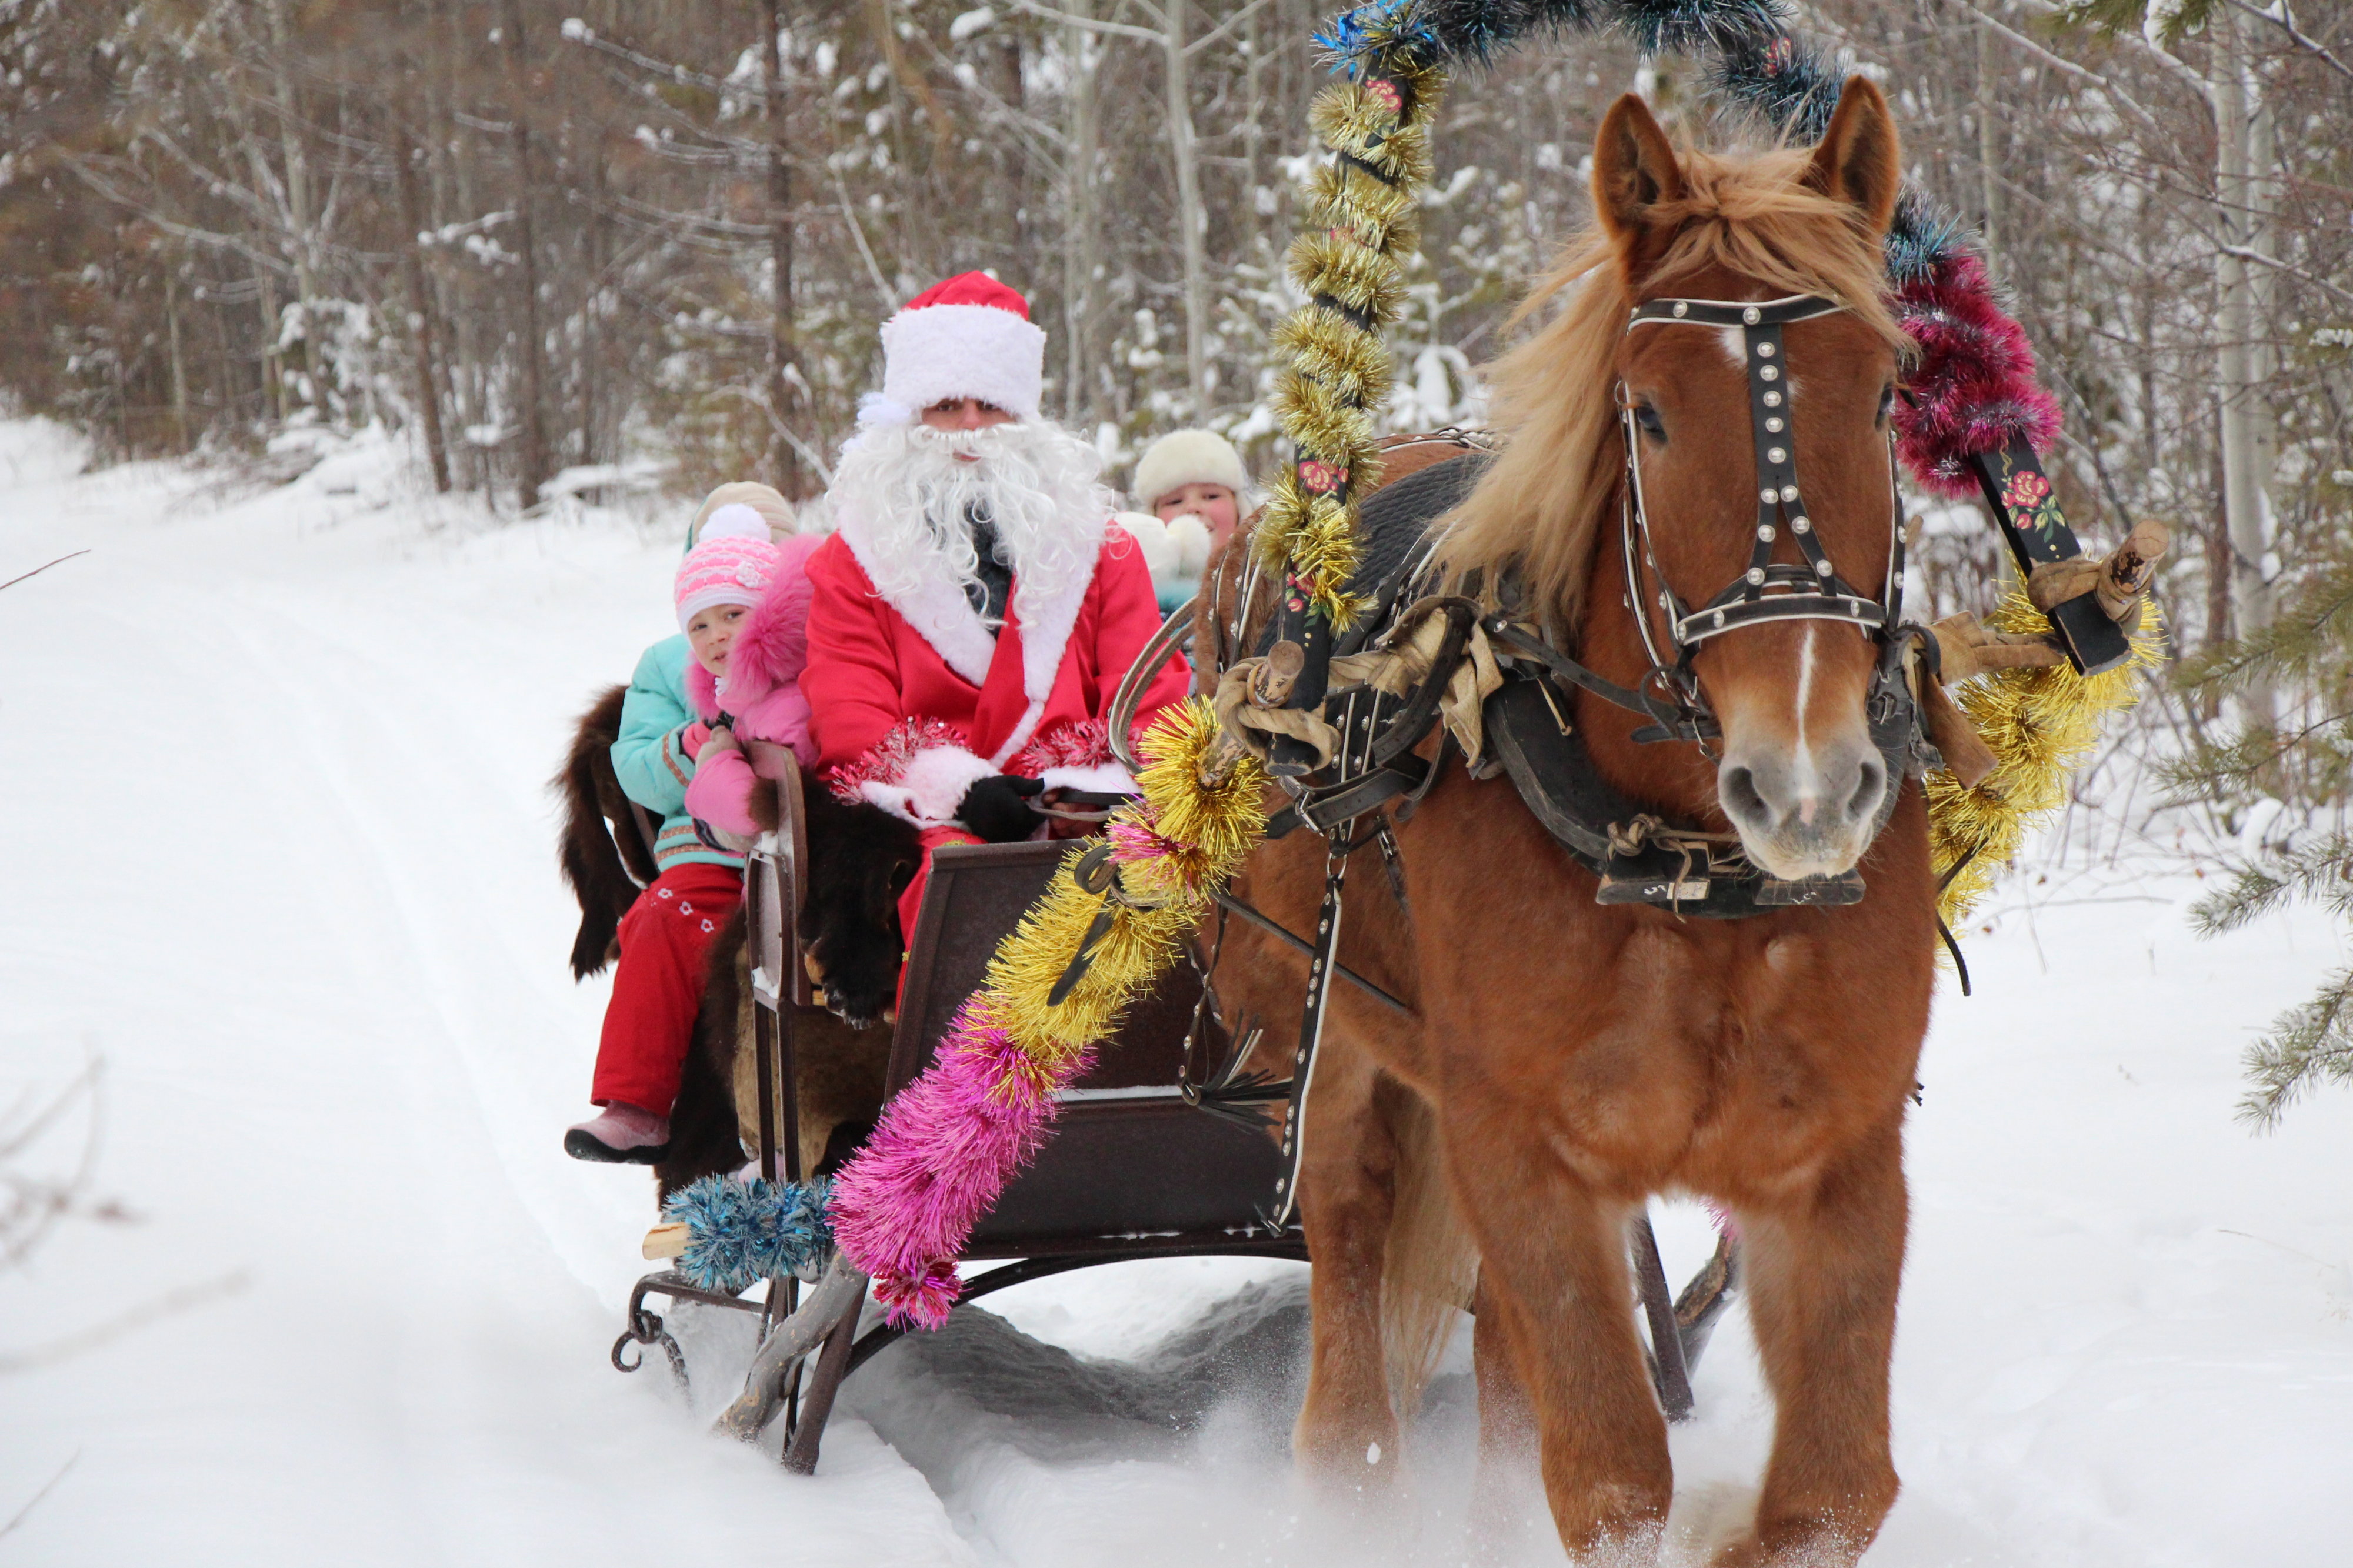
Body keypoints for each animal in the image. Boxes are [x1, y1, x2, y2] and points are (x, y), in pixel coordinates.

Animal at [1205, 79, 1939, 1553]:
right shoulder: (1520, 1148)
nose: (1807, 785)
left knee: (1494, 1362)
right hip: (1319, 1041)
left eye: (1885, 393)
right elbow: (1608, 1478)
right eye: (1644, 414)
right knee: (1348, 1278)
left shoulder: (1838, 1158)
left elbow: (1830, 1488)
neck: (1690, 870)